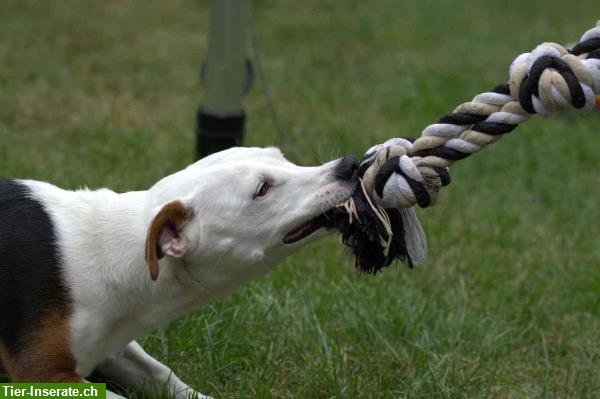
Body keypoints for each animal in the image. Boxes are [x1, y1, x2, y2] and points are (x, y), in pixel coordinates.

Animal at [0, 148, 358, 399]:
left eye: (282, 158)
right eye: (262, 189)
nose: (350, 165)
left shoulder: (114, 346)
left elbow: (162, 374)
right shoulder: (42, 373)